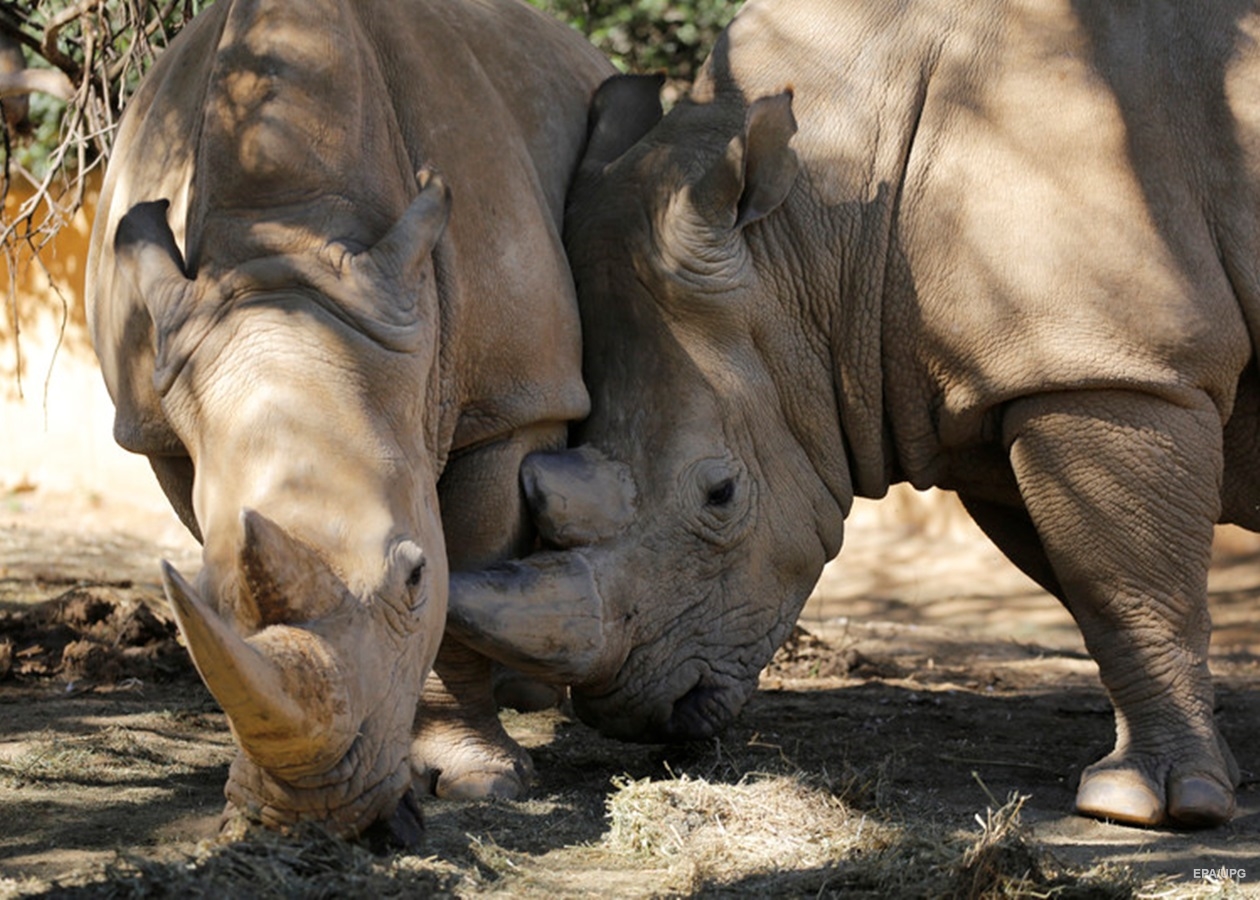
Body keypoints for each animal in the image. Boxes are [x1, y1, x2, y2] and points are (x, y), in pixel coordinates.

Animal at [83, 0, 609, 842]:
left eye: (414, 576)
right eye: (206, 597)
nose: (318, 814)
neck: (284, 242)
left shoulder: (511, 402)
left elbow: (468, 578)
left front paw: (480, 781)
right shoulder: (160, 422)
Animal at [453, 0, 1260, 826]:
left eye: (721, 494)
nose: (634, 713)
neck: (823, 238)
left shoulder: (1112, 366)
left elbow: (1126, 586)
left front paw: (1144, 804)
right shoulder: (1010, 381)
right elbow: (1095, 582)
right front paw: (1221, 772)